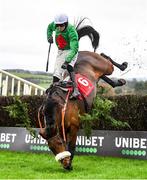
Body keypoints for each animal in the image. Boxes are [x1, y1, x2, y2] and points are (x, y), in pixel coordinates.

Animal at [38, 17, 127, 170]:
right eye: (51, 148)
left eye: (59, 143)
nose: (65, 164)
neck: (60, 107)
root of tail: (83, 52)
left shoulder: (74, 127)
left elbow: (72, 147)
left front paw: (70, 163)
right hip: (98, 74)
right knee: (103, 75)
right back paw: (118, 82)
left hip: (105, 65)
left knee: (105, 58)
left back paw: (123, 65)